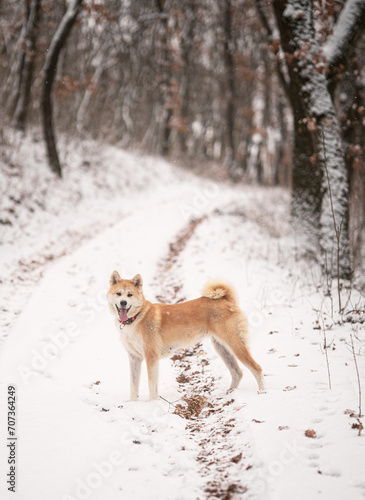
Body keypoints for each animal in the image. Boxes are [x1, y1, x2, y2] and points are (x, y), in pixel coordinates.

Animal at [106, 272, 264, 400]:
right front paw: (133, 403)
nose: (123, 302)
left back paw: (262, 393)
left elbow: (152, 387)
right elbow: (133, 386)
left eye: (130, 295)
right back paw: (228, 393)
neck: (136, 318)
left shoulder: (151, 358)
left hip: (235, 345)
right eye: (118, 294)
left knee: (257, 368)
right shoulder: (134, 358)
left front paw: (152, 404)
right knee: (237, 373)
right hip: (222, 348)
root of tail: (226, 299)